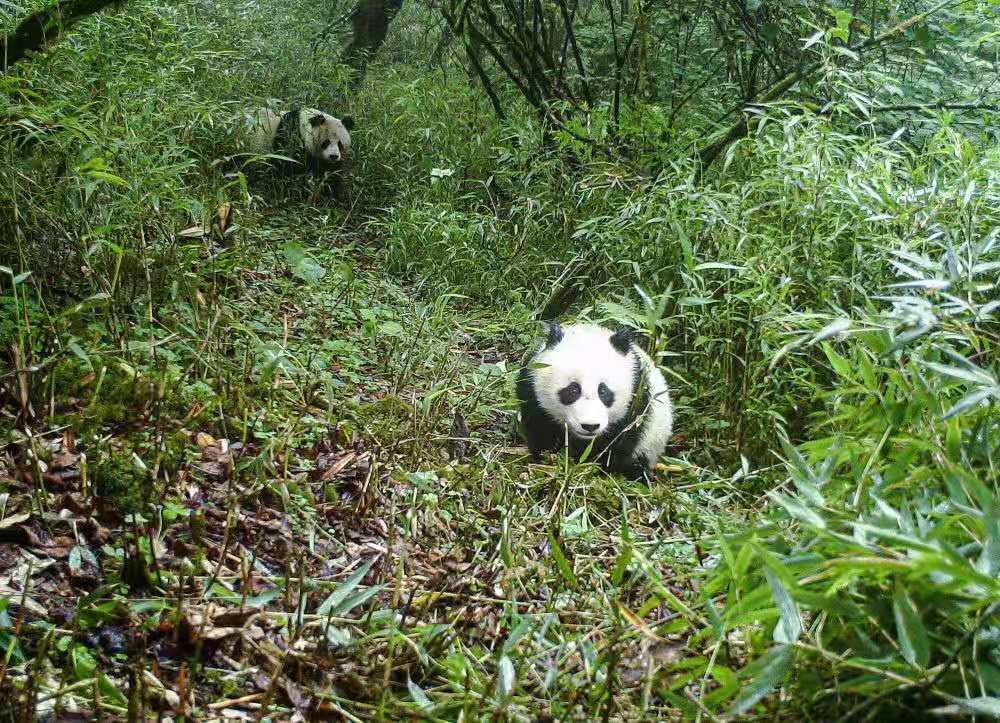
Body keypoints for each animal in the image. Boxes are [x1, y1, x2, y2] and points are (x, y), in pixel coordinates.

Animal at [516, 324, 672, 484]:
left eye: (603, 391)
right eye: (573, 389)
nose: (590, 426)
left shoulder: (638, 399)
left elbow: (618, 444)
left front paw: (594, 468)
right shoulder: (532, 390)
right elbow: (541, 430)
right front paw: (550, 458)